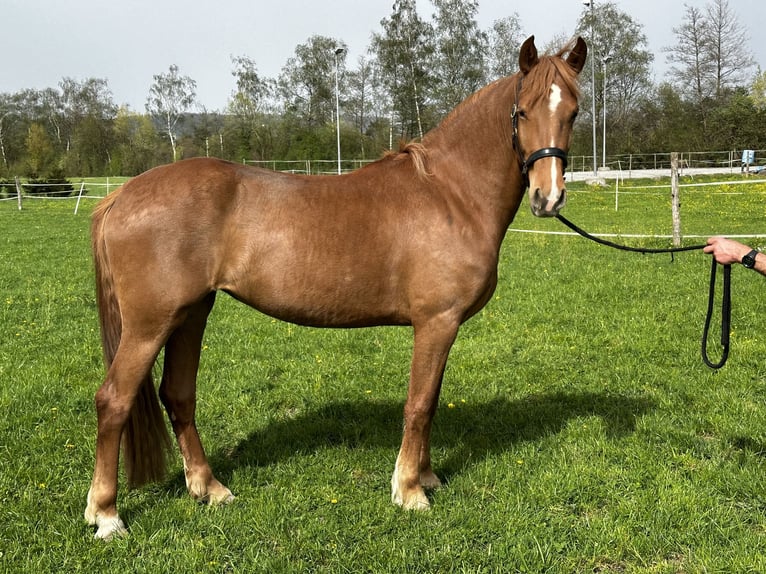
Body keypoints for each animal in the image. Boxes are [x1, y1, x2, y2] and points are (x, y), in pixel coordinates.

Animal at [84, 36, 588, 540]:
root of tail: (120, 196)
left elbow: (431, 400)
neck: (450, 194)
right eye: (521, 111)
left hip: (191, 313)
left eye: (574, 112)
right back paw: (106, 514)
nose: (548, 198)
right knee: (114, 401)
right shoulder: (436, 322)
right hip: (150, 324)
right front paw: (410, 491)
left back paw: (209, 488)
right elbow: (420, 403)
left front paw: (426, 477)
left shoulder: (443, 326)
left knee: (178, 395)